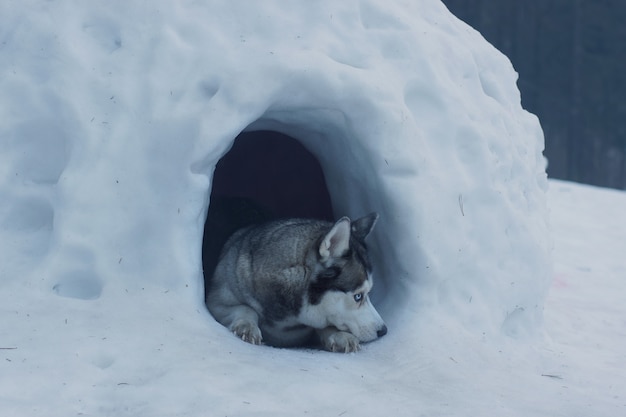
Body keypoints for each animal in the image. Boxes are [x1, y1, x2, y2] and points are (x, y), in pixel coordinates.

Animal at [206, 211, 386, 352]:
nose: (384, 331)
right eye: (358, 296)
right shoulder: (216, 302)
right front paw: (247, 326)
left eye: (368, 293)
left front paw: (339, 335)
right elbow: (246, 308)